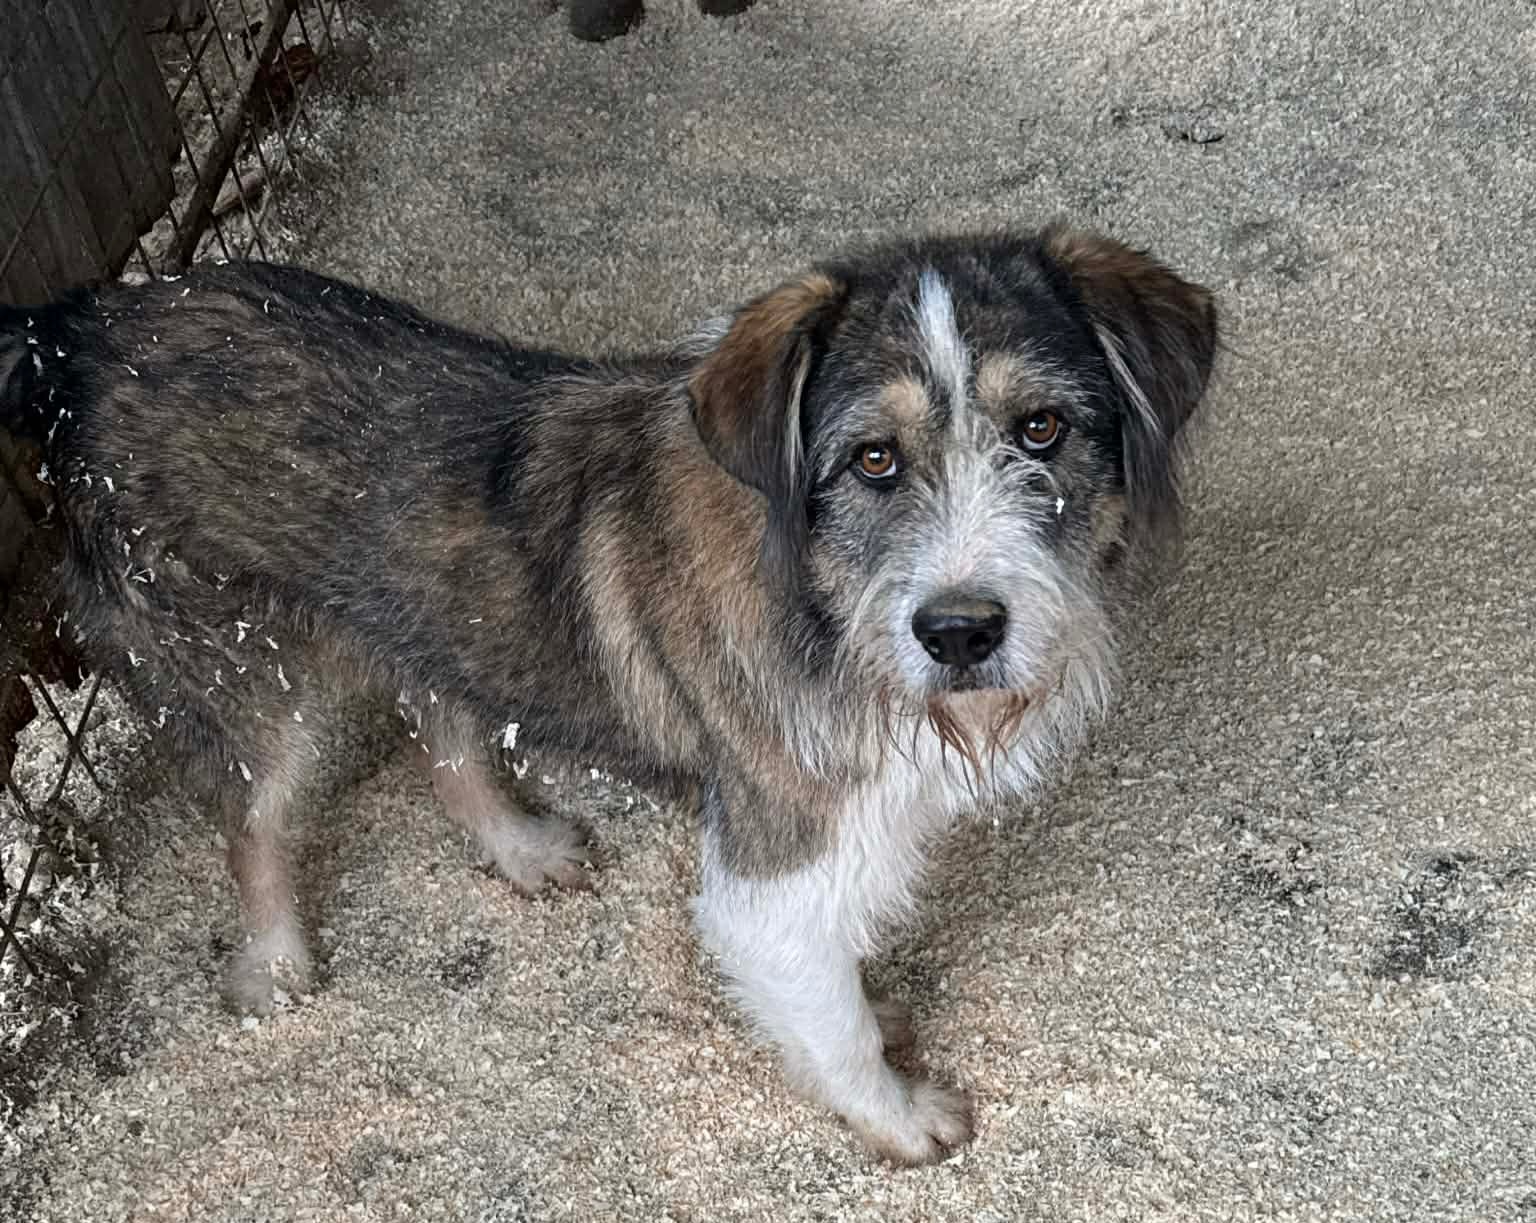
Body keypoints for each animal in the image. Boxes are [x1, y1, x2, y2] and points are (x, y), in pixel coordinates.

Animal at [0, 226, 1216, 1164]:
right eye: (873, 458)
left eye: (1042, 429)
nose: (961, 632)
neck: (824, 594)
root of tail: (81, 328)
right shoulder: (771, 870)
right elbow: (831, 1016)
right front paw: (898, 1115)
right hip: (246, 681)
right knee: (254, 820)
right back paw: (275, 964)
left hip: (416, 615)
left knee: (441, 718)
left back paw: (516, 843)